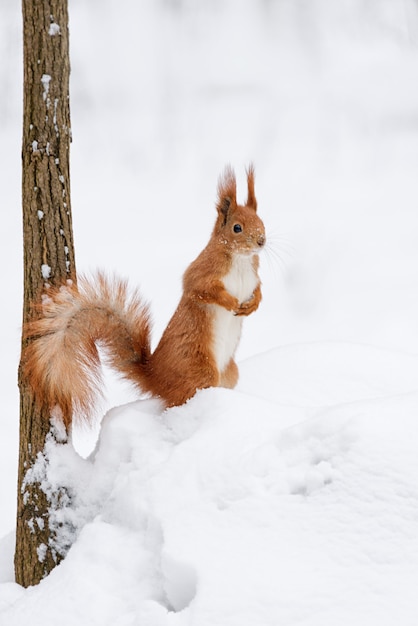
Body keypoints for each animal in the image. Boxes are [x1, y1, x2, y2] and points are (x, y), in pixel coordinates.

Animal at [22, 166, 264, 426]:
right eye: (237, 227)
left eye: (262, 221)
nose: (262, 241)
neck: (241, 261)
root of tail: (155, 376)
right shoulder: (201, 273)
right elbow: (202, 290)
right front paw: (232, 302)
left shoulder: (254, 277)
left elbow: (259, 291)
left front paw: (252, 305)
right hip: (200, 370)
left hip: (230, 372)